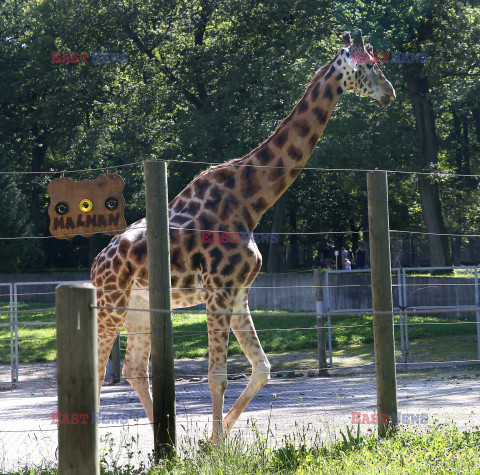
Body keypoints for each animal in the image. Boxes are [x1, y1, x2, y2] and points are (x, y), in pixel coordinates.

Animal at [91, 29, 398, 442]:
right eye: (369, 65)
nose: (390, 93)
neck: (250, 202)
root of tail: (95, 265)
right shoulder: (219, 290)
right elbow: (217, 375)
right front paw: (216, 446)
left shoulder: (239, 292)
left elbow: (262, 368)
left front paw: (211, 442)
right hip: (111, 306)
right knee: (96, 368)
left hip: (139, 309)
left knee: (133, 369)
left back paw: (166, 442)